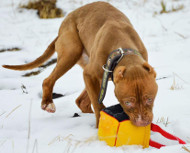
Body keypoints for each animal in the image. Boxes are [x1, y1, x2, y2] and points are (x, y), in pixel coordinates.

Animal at [2, 1, 157, 127]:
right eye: (128, 102)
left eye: (150, 99)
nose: (142, 122)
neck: (123, 51)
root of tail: (63, 24)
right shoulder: (89, 74)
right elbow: (98, 104)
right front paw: (99, 125)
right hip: (72, 52)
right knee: (48, 80)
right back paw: (48, 103)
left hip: (96, 73)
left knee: (81, 101)